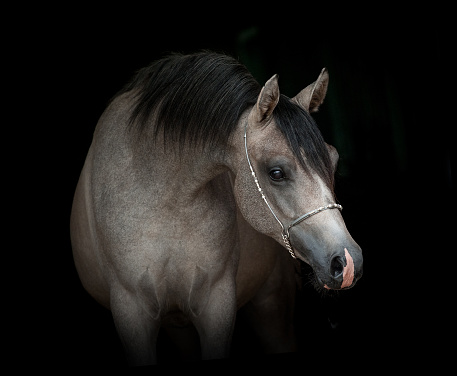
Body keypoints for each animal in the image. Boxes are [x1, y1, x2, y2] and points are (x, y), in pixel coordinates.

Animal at [70, 52, 364, 364]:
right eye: (276, 173)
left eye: (334, 160)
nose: (348, 261)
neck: (164, 198)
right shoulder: (132, 311)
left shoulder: (216, 304)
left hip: (271, 303)